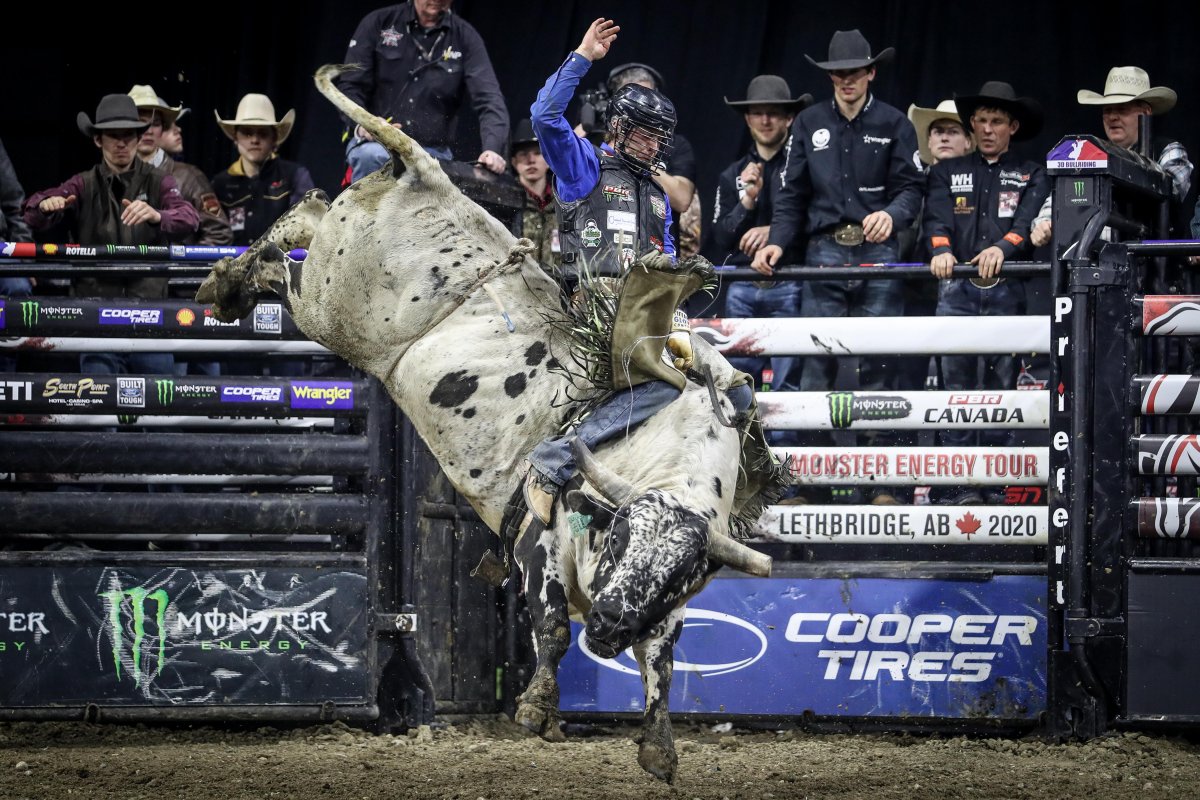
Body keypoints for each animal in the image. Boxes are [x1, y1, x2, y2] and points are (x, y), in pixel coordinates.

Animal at [196, 65, 782, 786]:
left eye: (676, 571)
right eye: (621, 536)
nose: (609, 622)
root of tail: (424, 171)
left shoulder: (668, 605)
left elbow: (663, 665)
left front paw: (659, 748)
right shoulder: (540, 547)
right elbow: (552, 630)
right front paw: (536, 710)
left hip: (336, 262)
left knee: (305, 213)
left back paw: (230, 276)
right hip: (330, 300)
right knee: (283, 256)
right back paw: (224, 281)